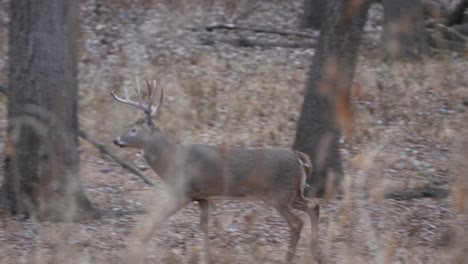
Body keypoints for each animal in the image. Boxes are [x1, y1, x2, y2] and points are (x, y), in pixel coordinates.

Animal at [111, 77, 320, 262]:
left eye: (133, 130)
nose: (116, 140)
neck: (172, 160)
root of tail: (299, 157)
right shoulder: (203, 197)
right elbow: (204, 226)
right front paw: (208, 257)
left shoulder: (182, 192)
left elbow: (155, 222)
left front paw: (136, 250)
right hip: (292, 193)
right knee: (313, 206)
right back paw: (315, 253)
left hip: (278, 194)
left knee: (297, 222)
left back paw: (291, 257)